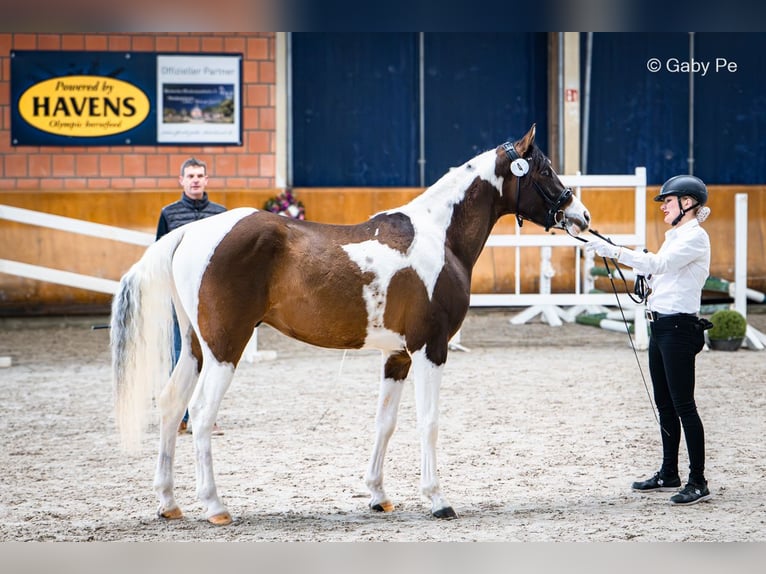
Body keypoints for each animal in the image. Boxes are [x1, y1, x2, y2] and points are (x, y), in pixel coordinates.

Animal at [110, 124, 591, 525]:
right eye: (544, 168)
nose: (580, 216)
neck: (439, 236)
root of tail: (191, 233)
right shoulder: (430, 349)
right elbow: (429, 421)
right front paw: (437, 499)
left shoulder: (397, 356)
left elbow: (385, 422)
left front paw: (378, 495)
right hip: (225, 348)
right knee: (202, 413)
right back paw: (214, 506)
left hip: (195, 345)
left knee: (171, 404)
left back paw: (169, 503)